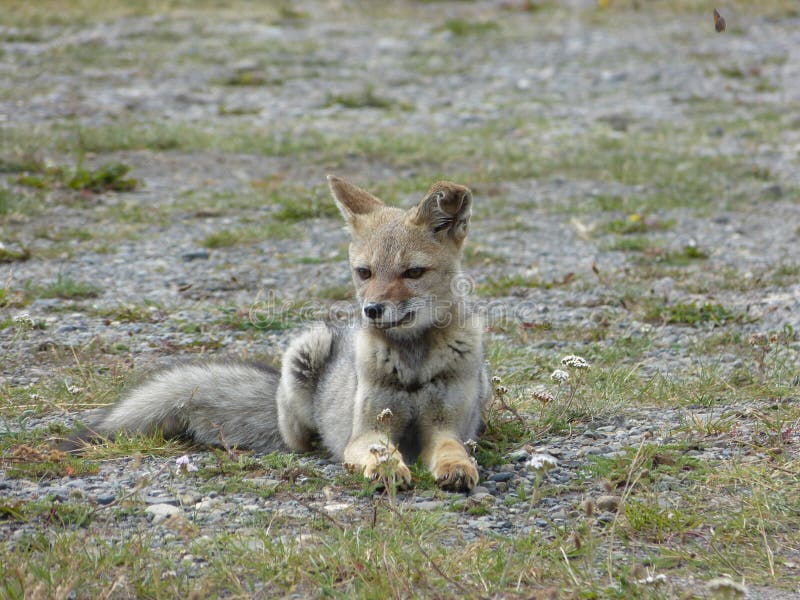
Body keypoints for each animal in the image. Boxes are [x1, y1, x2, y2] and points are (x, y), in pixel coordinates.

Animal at [83, 176, 491, 491]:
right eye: (364, 273)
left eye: (413, 273)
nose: (372, 310)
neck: (413, 364)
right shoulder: (367, 432)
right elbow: (380, 452)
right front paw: (387, 468)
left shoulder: (446, 428)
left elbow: (453, 451)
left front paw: (457, 469)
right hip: (305, 354)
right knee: (305, 442)